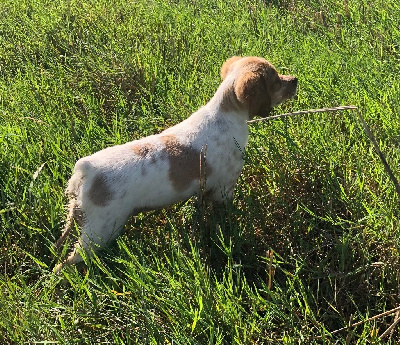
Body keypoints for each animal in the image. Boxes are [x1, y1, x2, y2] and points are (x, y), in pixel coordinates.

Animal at [53, 55, 296, 272]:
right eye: (276, 79)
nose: (295, 79)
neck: (225, 114)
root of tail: (87, 170)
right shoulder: (224, 189)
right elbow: (222, 217)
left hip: (77, 217)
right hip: (101, 230)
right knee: (64, 265)